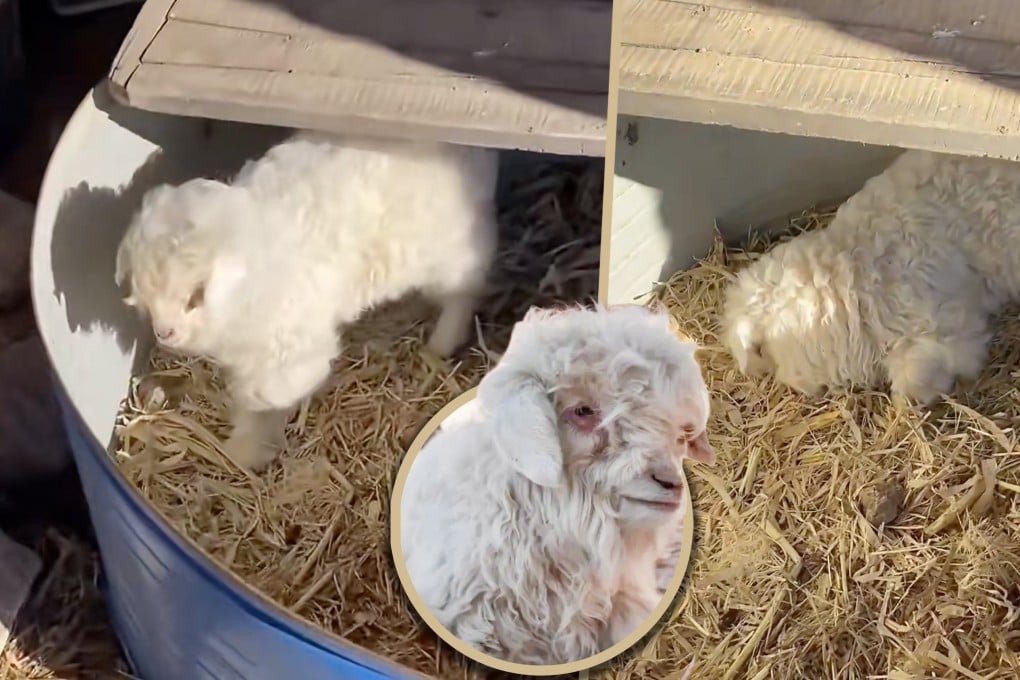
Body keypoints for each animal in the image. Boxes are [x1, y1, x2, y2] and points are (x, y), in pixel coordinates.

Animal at [115, 132, 500, 470]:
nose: (164, 333)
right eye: (143, 292)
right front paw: (247, 448)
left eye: (196, 296)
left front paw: (249, 442)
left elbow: (268, 393)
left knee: (464, 291)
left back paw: (442, 343)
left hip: (450, 253)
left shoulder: (290, 347)